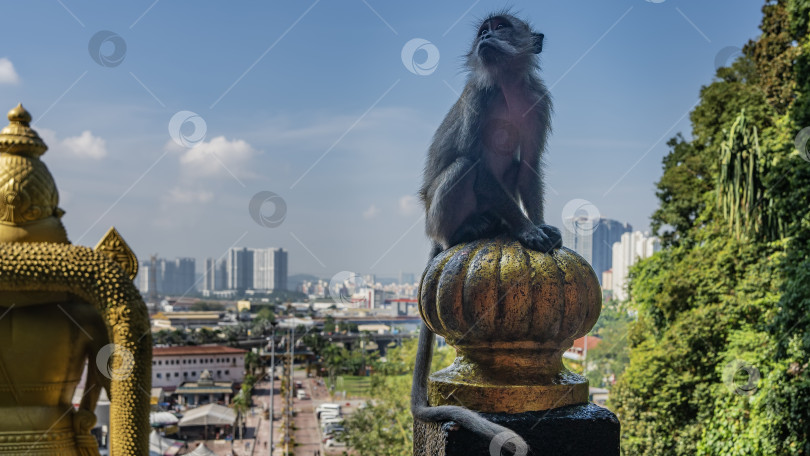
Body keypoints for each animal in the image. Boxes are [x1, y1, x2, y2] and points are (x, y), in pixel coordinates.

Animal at [414, 11, 560, 456]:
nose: (486, 38)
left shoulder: (539, 101)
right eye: (484, 30)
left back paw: (496, 224)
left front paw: (537, 223)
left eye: (501, 27)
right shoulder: (480, 95)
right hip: (438, 216)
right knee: (465, 165)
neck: (508, 86)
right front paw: (528, 230)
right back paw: (472, 229)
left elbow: (528, 165)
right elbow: (477, 159)